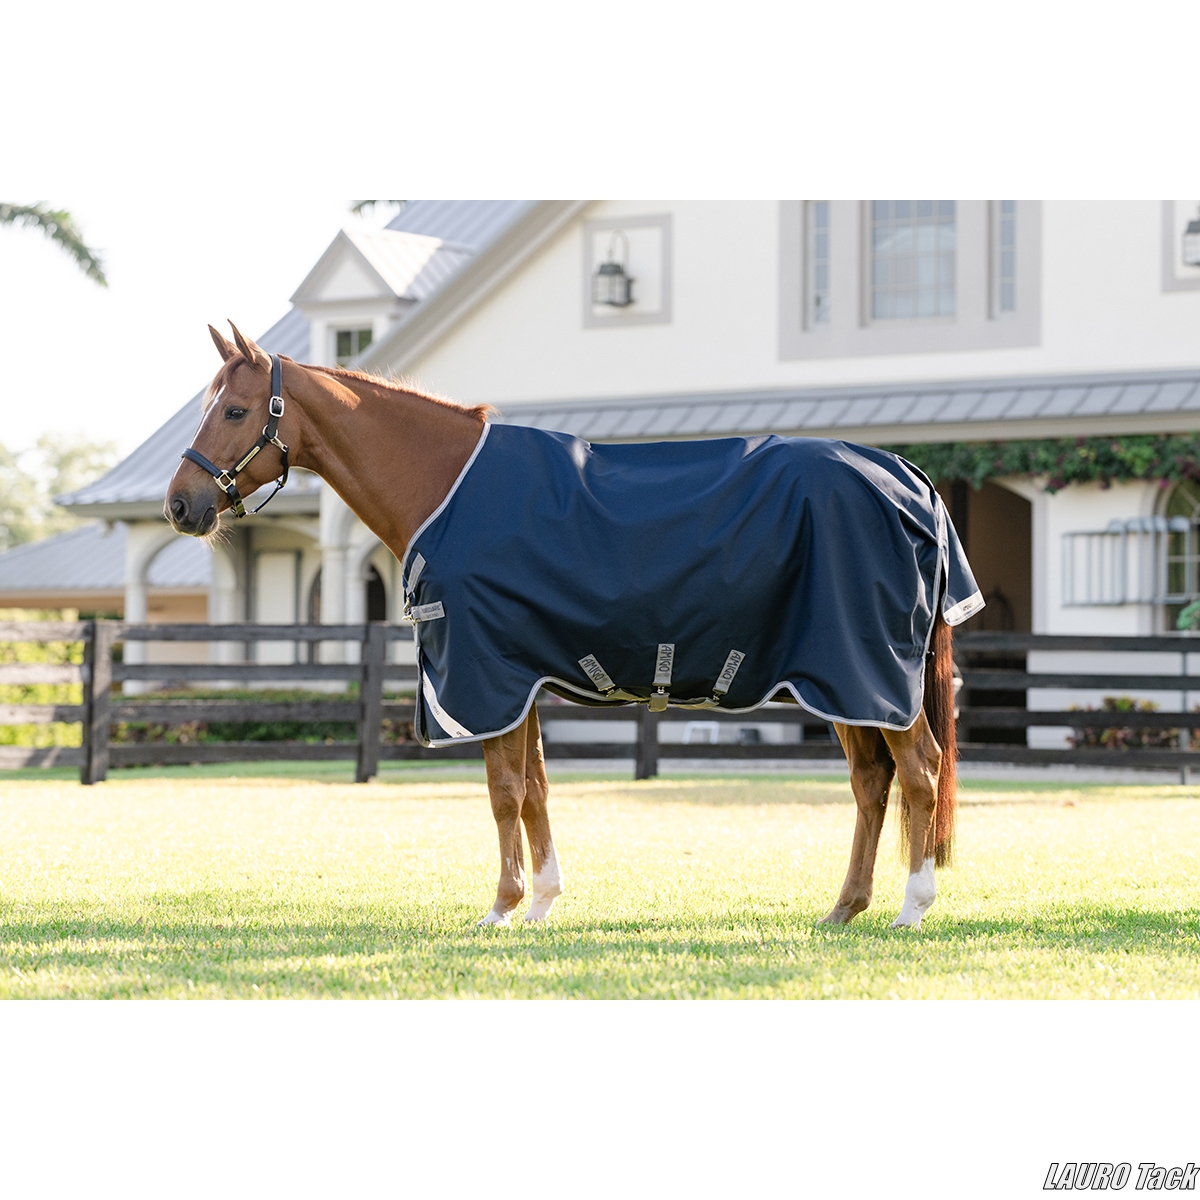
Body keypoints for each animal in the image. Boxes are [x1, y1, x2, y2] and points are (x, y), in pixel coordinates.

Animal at [164, 321, 968, 930]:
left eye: (234, 411)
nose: (179, 505)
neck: (446, 484)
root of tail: (909, 480)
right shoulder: (521, 679)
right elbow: (536, 788)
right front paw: (543, 902)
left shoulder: (487, 675)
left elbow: (503, 791)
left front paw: (501, 908)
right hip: (844, 683)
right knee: (872, 782)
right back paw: (845, 908)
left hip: (866, 674)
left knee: (919, 772)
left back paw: (911, 908)